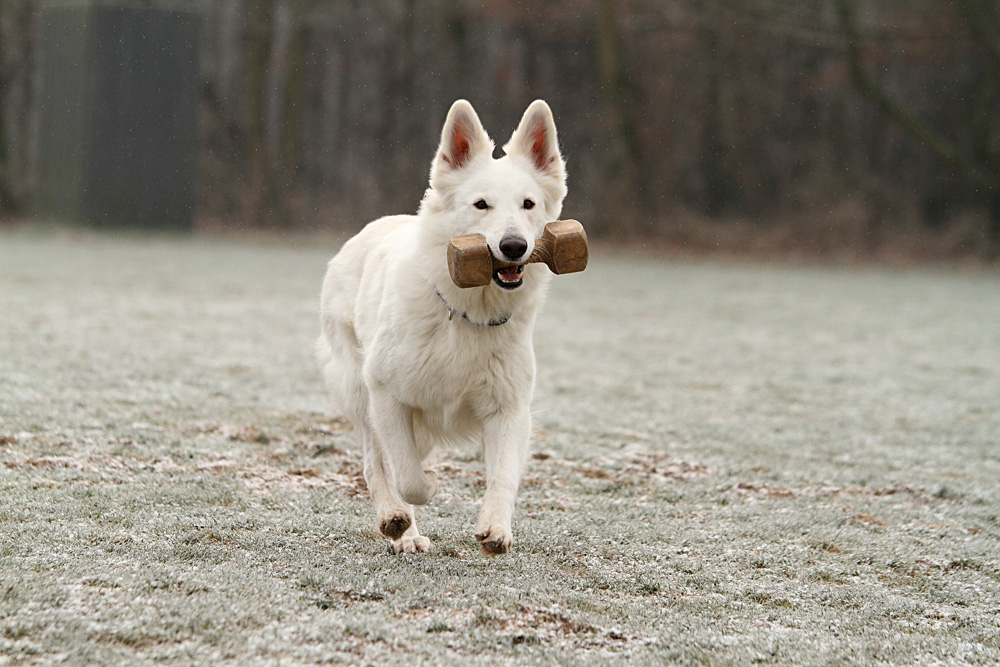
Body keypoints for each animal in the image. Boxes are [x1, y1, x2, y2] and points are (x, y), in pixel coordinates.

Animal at [317, 99, 567, 555]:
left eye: (528, 204)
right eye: (481, 205)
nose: (514, 246)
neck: (467, 313)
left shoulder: (509, 409)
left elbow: (503, 475)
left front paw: (495, 528)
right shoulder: (387, 397)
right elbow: (406, 474)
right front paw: (421, 496)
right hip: (360, 391)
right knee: (376, 463)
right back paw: (399, 523)